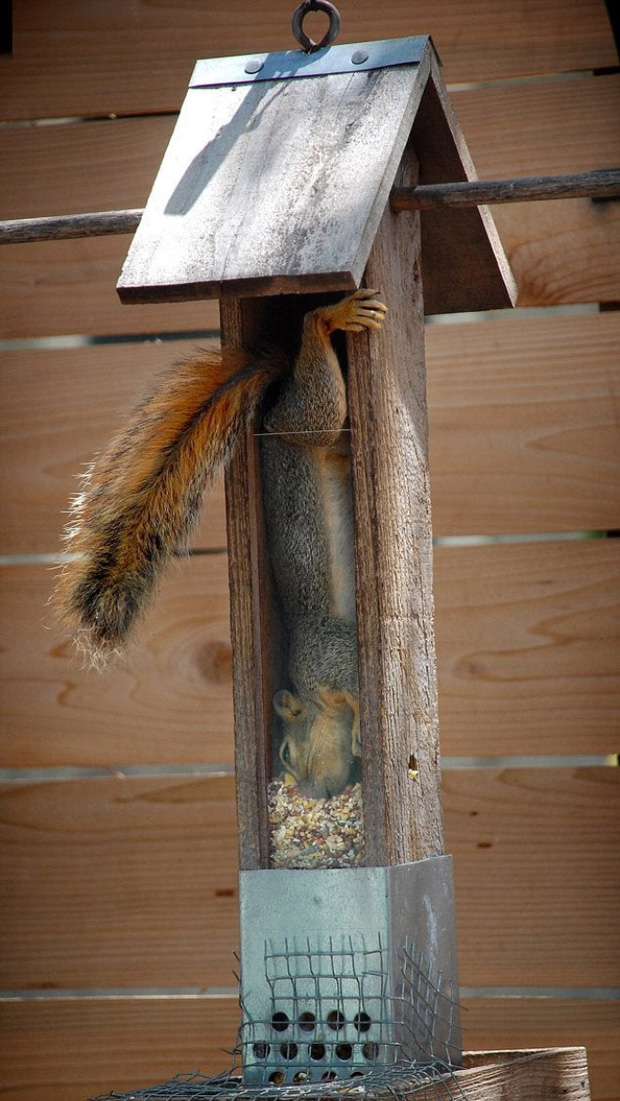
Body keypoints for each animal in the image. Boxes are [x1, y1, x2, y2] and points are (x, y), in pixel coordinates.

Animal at [58, 288, 387, 797]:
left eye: (286, 752)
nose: (311, 792)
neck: (313, 697)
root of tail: (272, 404)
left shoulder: (328, 654)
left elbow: (354, 681)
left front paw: (356, 732)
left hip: (300, 424)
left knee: (315, 401)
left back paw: (329, 317)